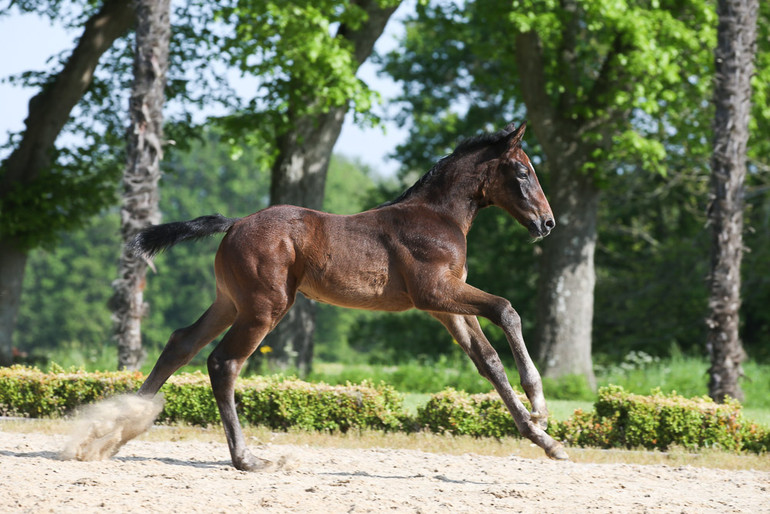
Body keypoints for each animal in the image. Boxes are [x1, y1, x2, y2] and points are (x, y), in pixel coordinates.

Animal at [130, 121, 564, 468]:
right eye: (523, 171)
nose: (547, 223)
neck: (439, 216)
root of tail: (235, 223)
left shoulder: (448, 307)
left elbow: (488, 360)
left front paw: (545, 439)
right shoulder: (435, 292)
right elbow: (506, 310)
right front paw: (540, 405)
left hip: (229, 301)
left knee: (181, 342)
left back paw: (122, 422)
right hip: (264, 307)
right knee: (223, 362)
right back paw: (245, 458)